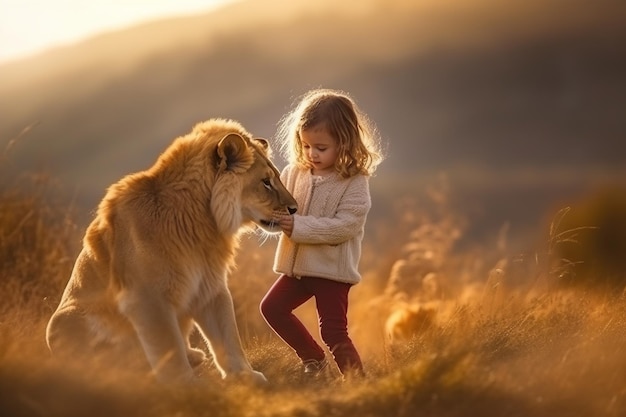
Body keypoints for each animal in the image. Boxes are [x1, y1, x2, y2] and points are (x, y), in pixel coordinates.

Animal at [46, 118, 294, 382]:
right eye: (265, 182)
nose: (295, 208)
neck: (203, 223)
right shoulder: (146, 298)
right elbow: (168, 347)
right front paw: (186, 385)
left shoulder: (209, 286)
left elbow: (228, 336)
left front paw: (244, 375)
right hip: (68, 318)